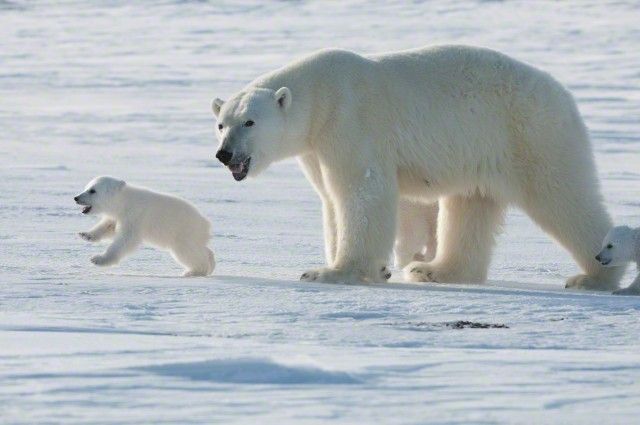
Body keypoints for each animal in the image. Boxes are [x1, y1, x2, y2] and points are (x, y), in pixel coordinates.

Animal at [75, 176, 215, 277]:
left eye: (92, 190)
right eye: (87, 187)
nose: (76, 197)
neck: (124, 201)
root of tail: (206, 223)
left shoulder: (135, 216)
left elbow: (125, 240)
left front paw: (97, 259)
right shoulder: (119, 216)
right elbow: (108, 226)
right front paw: (85, 235)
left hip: (183, 232)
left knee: (187, 252)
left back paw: (193, 271)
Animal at [211, 45, 623, 290]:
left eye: (249, 122)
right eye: (221, 123)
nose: (224, 154)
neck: (318, 94)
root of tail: (564, 97)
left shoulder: (348, 122)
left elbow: (360, 191)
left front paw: (332, 272)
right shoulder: (315, 146)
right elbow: (330, 199)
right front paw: (372, 268)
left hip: (531, 136)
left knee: (563, 197)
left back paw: (595, 275)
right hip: (483, 150)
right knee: (470, 207)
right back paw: (435, 270)